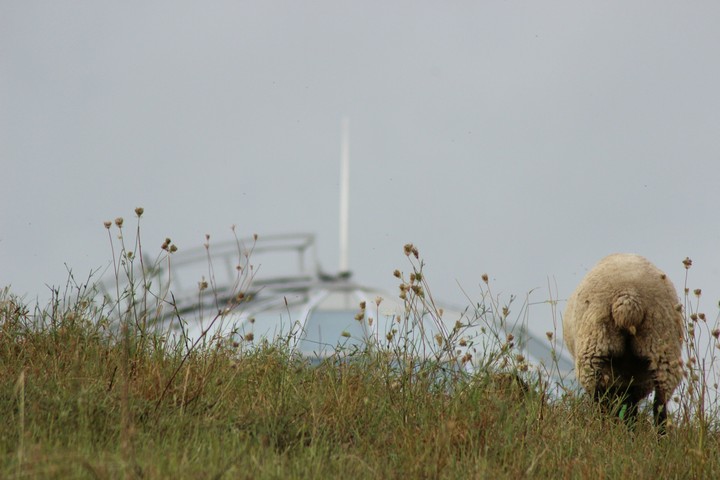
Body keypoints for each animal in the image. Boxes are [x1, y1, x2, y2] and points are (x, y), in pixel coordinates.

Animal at [562, 253, 684, 432]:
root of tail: (629, 296)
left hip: (594, 349)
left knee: (599, 400)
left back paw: (600, 428)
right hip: (662, 347)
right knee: (660, 403)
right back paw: (659, 436)